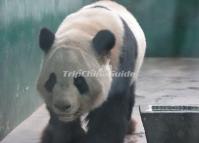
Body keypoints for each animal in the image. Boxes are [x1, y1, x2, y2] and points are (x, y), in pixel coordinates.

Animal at [36, 0, 145, 143]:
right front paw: (68, 136)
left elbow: (110, 111)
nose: (62, 106)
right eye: (52, 80)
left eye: (79, 81)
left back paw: (129, 126)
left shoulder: (120, 63)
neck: (83, 29)